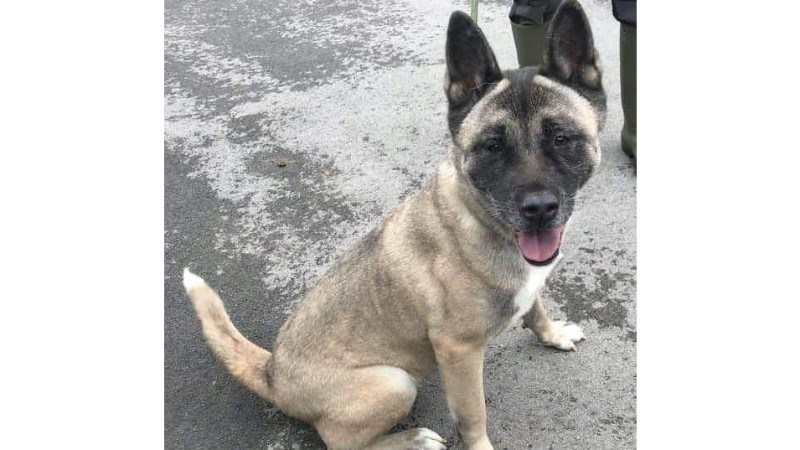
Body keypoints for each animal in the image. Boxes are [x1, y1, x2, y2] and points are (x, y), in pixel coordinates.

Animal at [183, 1, 606, 448]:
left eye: (562, 138)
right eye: (492, 147)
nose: (539, 209)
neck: (479, 221)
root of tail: (272, 374)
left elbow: (536, 309)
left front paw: (552, 333)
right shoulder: (458, 352)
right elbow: (473, 416)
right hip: (395, 382)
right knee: (342, 441)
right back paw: (412, 438)